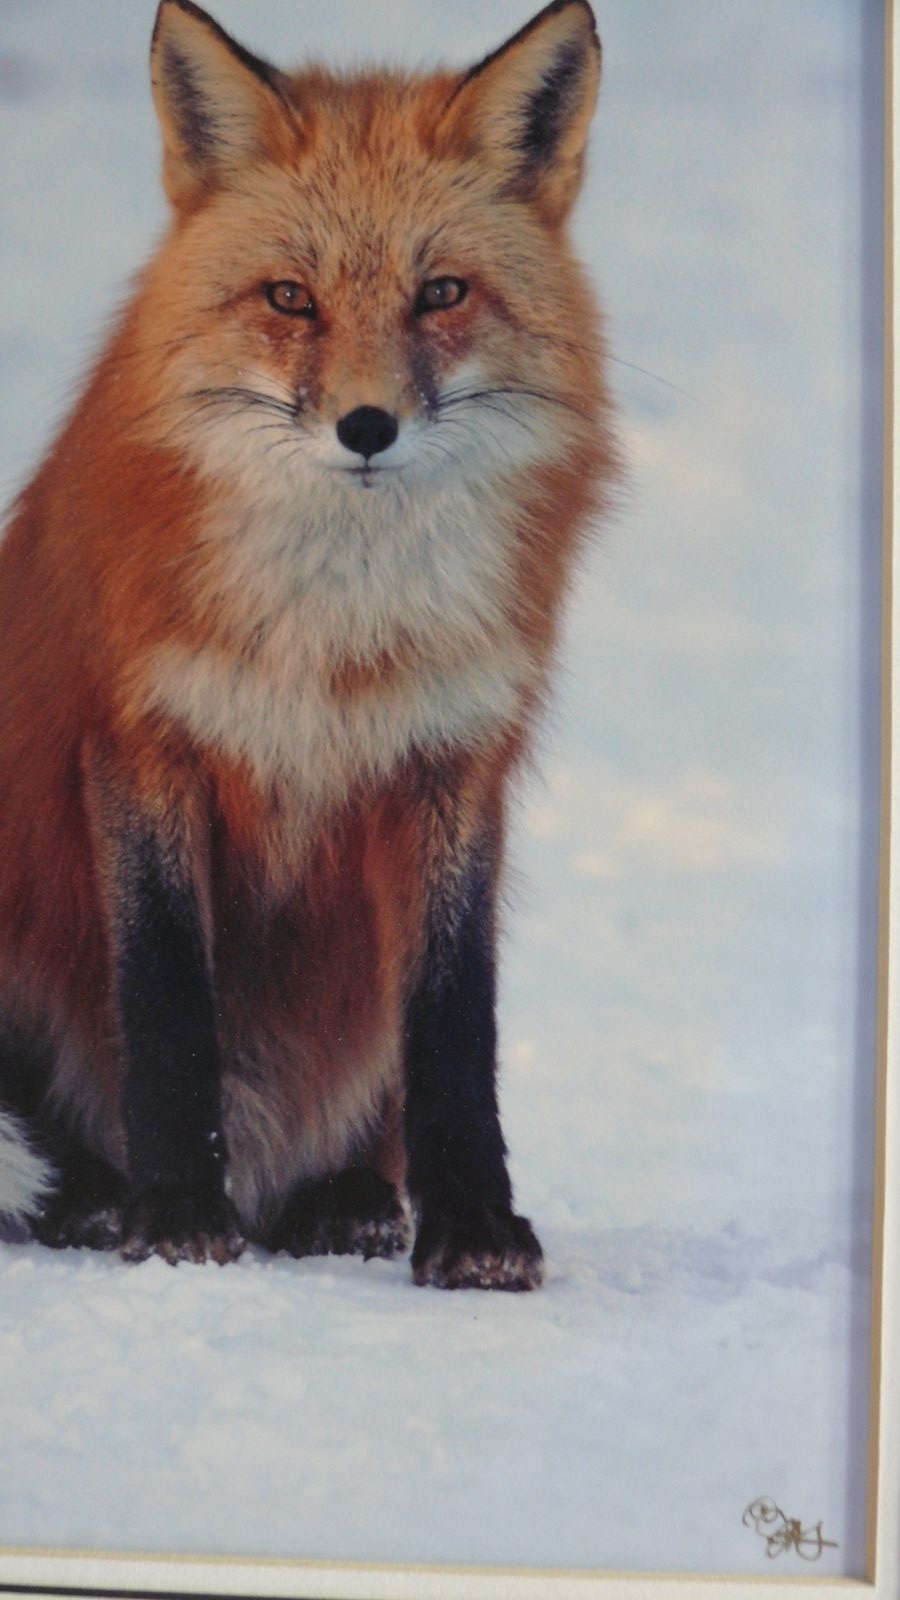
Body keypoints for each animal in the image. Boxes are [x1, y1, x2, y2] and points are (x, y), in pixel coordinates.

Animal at [0, 0, 615, 1289]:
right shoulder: (139, 746)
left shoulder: (450, 767)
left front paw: (473, 1224)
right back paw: (95, 1196)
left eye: (442, 293)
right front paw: (176, 1210)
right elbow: (169, 1006)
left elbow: (454, 1029)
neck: (336, 641)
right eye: (290, 297)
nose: (366, 426)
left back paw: (346, 1198)